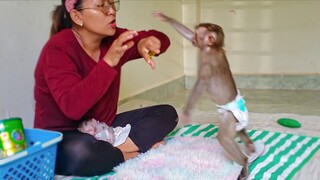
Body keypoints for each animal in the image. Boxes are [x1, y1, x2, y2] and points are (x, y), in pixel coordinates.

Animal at [152, 11, 264, 179]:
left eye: (199, 35)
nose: (194, 39)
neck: (211, 48)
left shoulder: (207, 68)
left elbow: (200, 85)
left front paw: (186, 114)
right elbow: (186, 34)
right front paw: (166, 18)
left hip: (230, 117)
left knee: (224, 137)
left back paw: (244, 162)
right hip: (233, 118)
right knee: (240, 131)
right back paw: (250, 147)